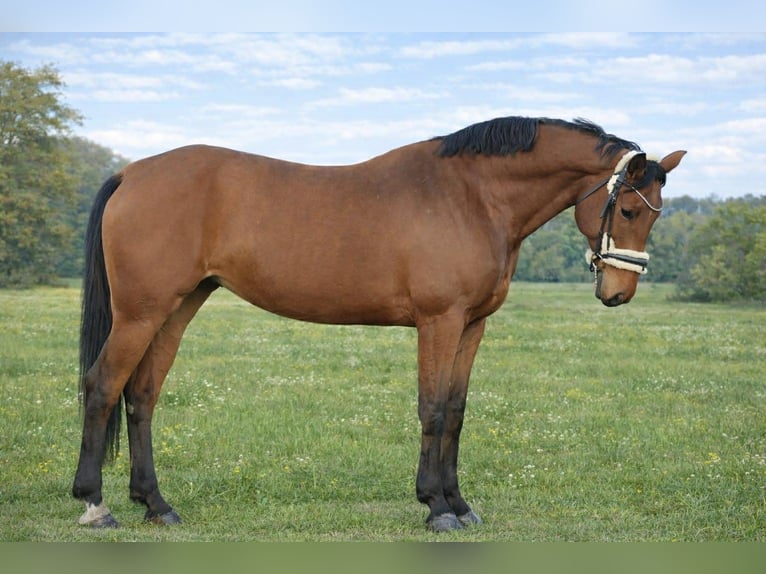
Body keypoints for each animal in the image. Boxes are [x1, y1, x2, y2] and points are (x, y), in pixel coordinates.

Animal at [72, 116, 685, 531]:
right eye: (628, 209)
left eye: (655, 216)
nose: (619, 293)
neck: (471, 197)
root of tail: (132, 173)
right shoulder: (439, 322)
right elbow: (432, 409)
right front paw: (436, 507)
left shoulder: (472, 326)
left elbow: (456, 411)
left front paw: (461, 504)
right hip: (141, 313)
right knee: (102, 387)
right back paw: (95, 504)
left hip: (177, 308)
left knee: (142, 397)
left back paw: (157, 504)